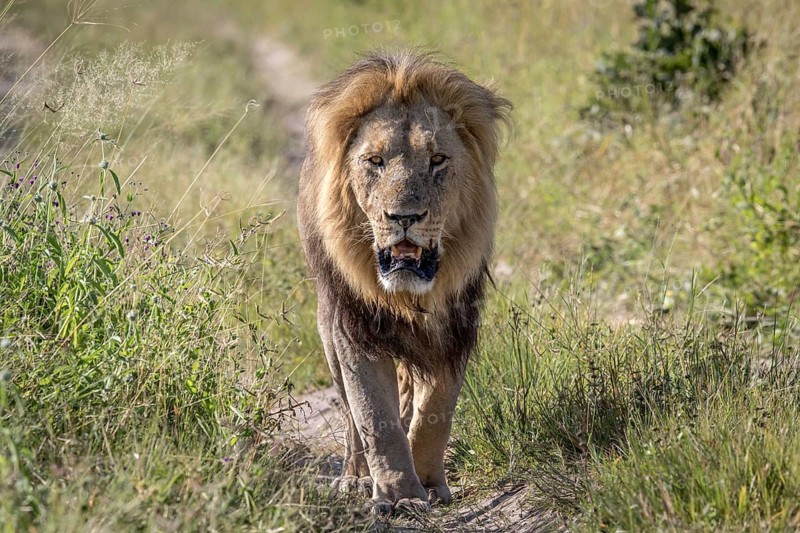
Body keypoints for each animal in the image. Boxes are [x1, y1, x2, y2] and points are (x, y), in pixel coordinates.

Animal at [297, 50, 511, 514]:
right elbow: (374, 416)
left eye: (437, 160)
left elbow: (435, 411)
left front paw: (428, 484)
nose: (404, 217)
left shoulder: (455, 327)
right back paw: (357, 478)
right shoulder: (352, 325)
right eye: (375, 161)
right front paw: (397, 495)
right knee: (350, 416)